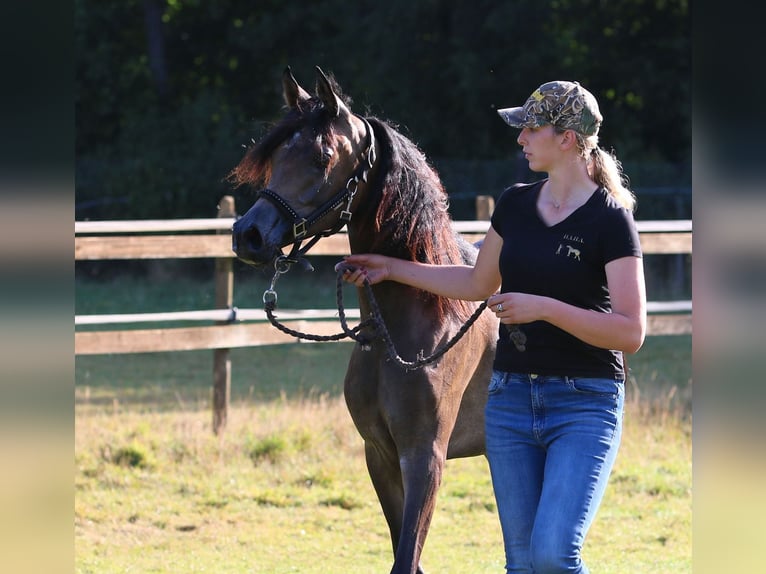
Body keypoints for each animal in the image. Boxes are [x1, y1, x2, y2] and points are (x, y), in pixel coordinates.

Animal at [229, 66, 498, 574]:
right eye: (276, 155)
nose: (247, 235)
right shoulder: (380, 455)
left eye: (322, 156)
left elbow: (407, 557)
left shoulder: (425, 458)